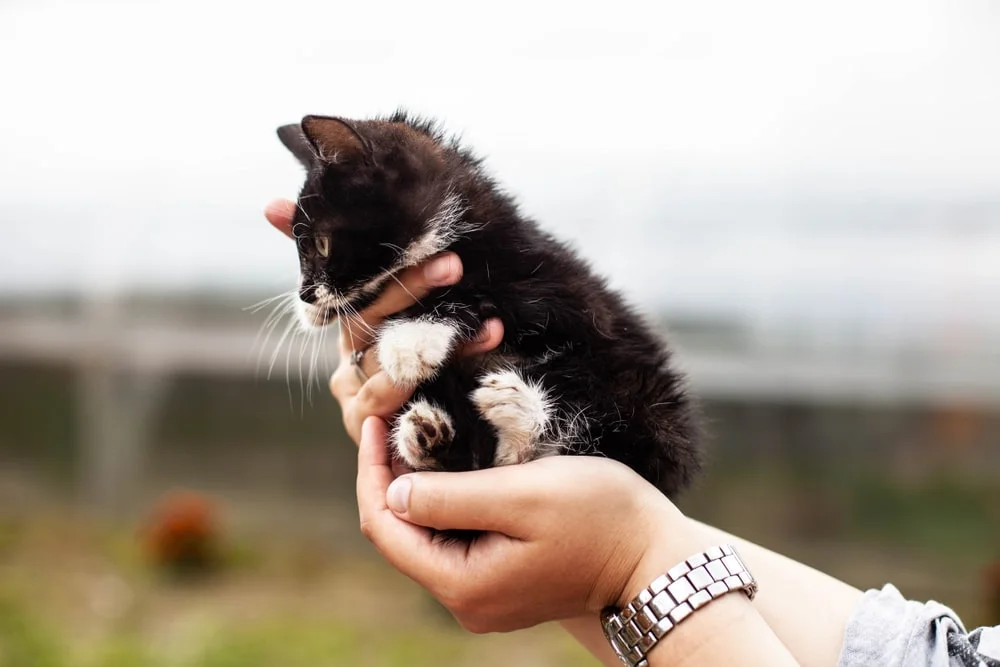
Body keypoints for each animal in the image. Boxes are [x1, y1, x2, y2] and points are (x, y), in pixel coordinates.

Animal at [272, 112, 696, 496]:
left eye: (321, 245)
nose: (306, 293)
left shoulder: (560, 293)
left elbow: (476, 290)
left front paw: (409, 341)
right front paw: (316, 312)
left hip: (634, 393)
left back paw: (517, 411)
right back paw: (427, 436)